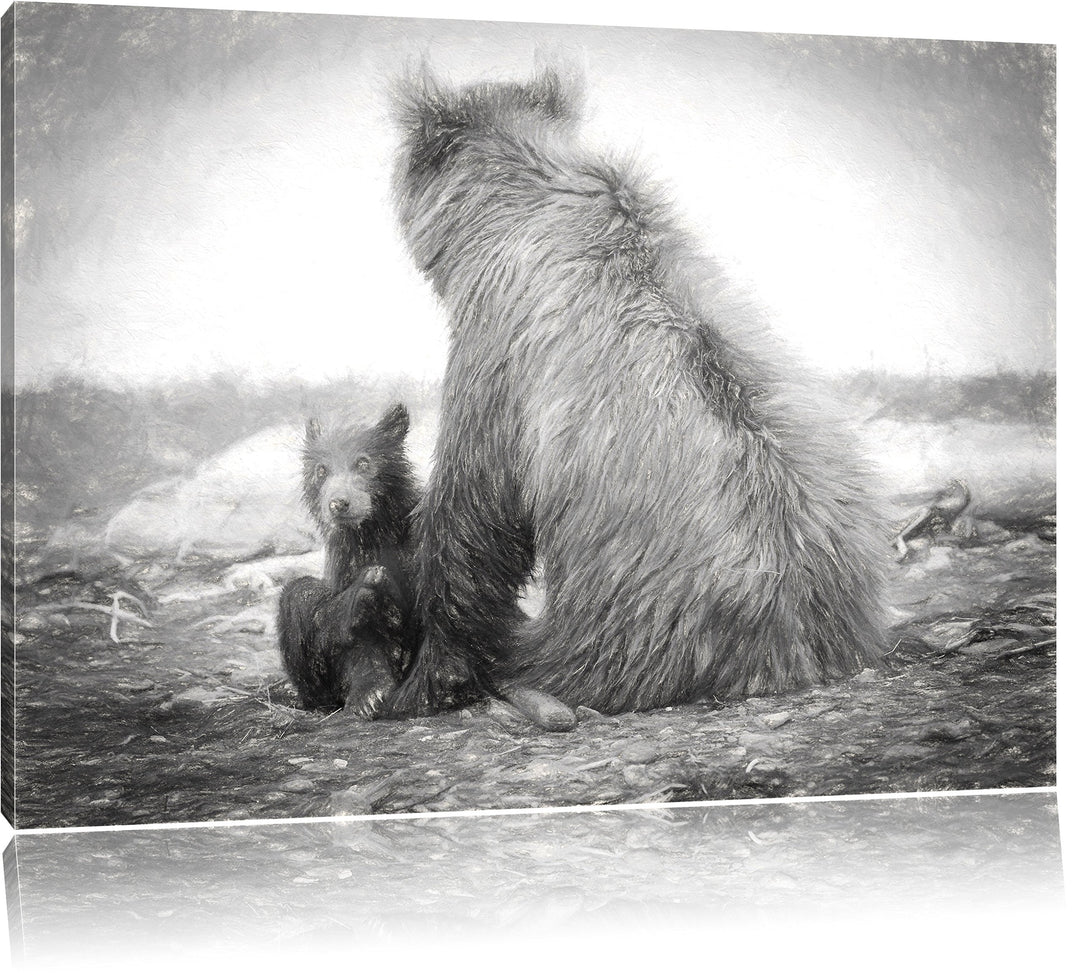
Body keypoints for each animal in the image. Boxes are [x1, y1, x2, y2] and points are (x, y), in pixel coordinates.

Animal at [277, 402, 419, 717]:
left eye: (363, 463)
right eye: (321, 470)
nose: (338, 503)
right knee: (299, 593)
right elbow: (352, 635)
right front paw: (369, 695)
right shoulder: (344, 563)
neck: (372, 533)